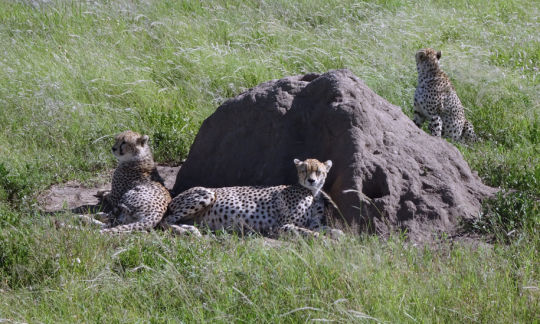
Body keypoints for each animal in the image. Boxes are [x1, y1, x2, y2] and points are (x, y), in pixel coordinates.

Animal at [162, 158, 344, 239]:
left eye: (318, 171)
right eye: (304, 170)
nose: (311, 180)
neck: (312, 193)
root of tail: (173, 197)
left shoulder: (313, 222)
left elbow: (325, 228)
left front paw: (337, 232)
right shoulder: (281, 226)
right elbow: (306, 231)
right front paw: (321, 238)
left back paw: (190, 229)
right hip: (208, 194)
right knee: (165, 222)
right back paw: (185, 231)